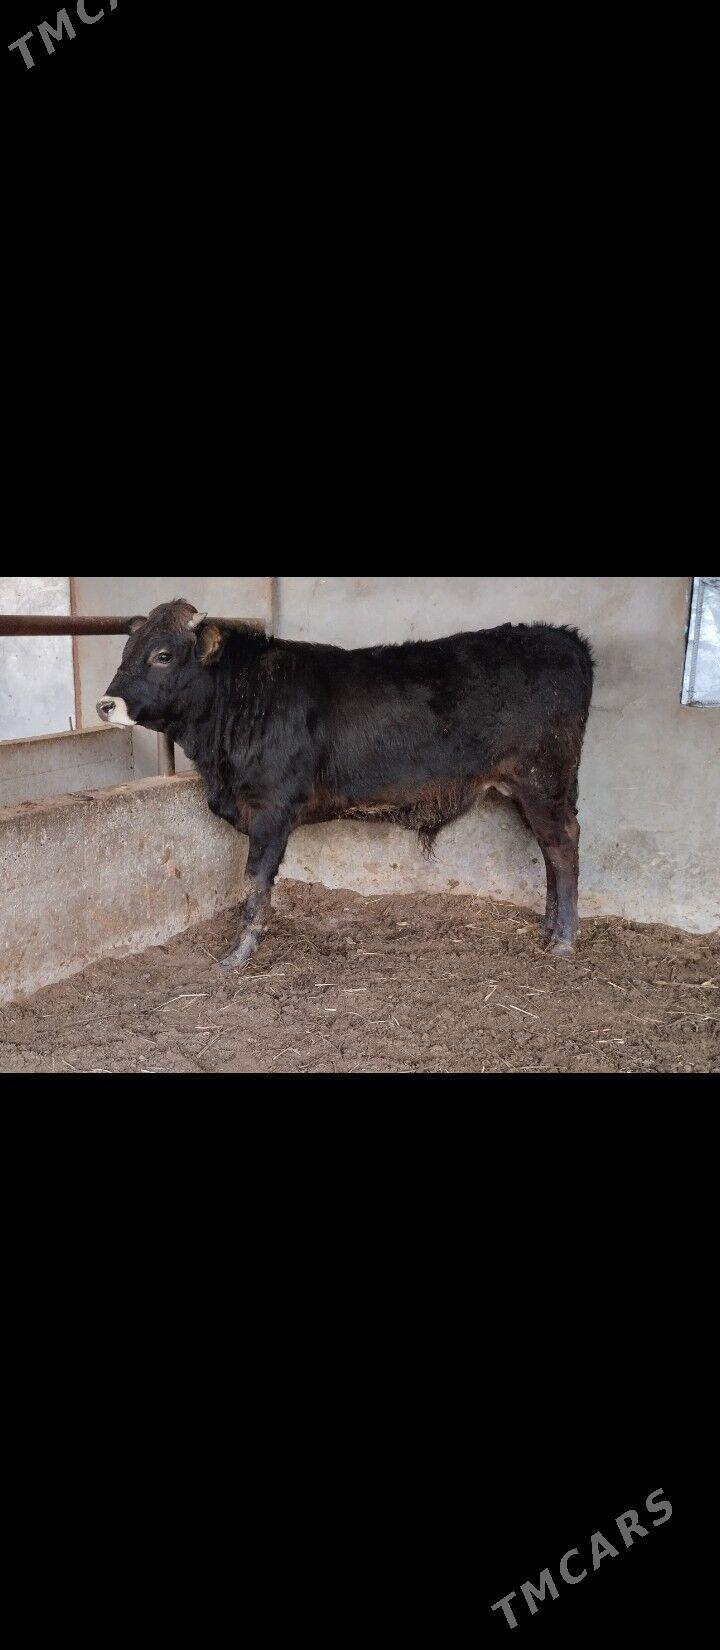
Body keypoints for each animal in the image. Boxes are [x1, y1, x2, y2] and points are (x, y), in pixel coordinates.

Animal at [97, 599, 594, 968]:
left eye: (162, 655)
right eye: (124, 652)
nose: (105, 704)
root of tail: (563, 636)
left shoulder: (271, 809)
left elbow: (255, 882)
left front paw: (239, 954)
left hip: (543, 781)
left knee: (563, 846)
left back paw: (564, 940)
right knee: (550, 851)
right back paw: (549, 928)